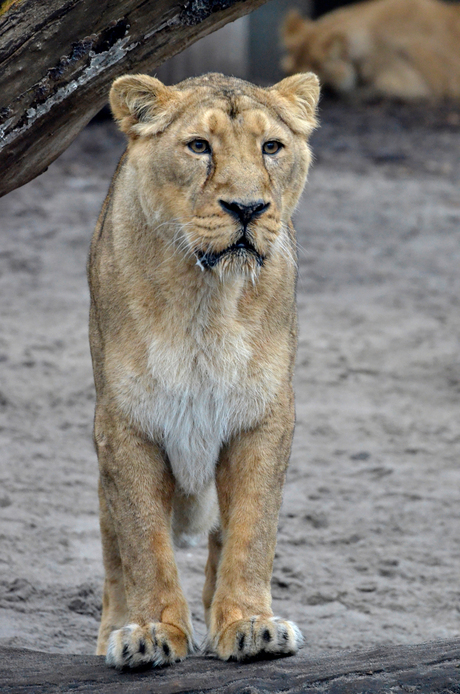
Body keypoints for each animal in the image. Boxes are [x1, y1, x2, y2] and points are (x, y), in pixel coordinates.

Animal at [89, 69, 320, 668]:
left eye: (271, 147)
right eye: (198, 146)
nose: (248, 208)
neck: (207, 298)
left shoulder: (264, 417)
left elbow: (251, 532)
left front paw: (250, 625)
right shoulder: (123, 424)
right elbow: (143, 541)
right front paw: (150, 630)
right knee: (113, 553)